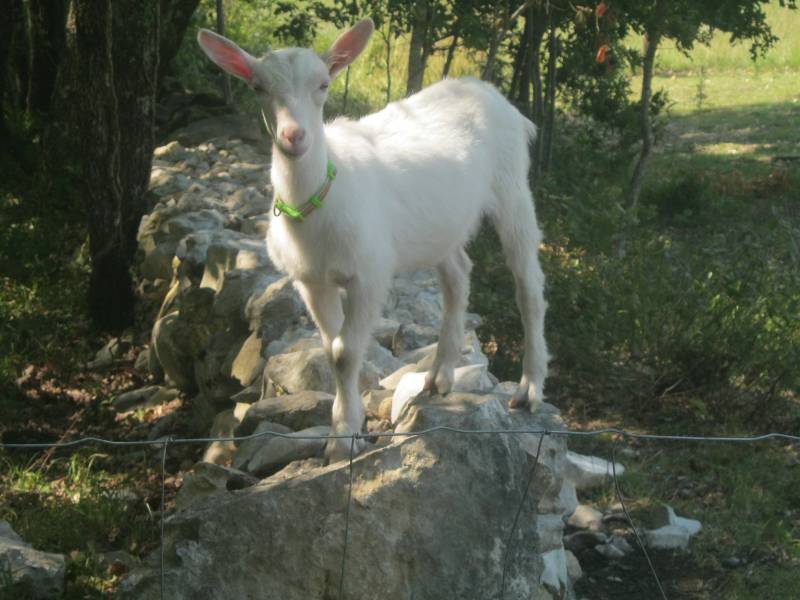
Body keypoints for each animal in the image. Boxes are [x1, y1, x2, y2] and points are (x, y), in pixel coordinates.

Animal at [198, 17, 552, 460]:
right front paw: (343, 426)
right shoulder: (310, 280)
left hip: (512, 187)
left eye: (323, 85)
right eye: (258, 87)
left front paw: (342, 439)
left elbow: (345, 353)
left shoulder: (368, 273)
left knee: (528, 285)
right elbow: (330, 350)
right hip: (441, 223)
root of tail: (494, 96)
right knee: (457, 274)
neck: (319, 202)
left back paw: (529, 388)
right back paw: (440, 375)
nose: (294, 136)